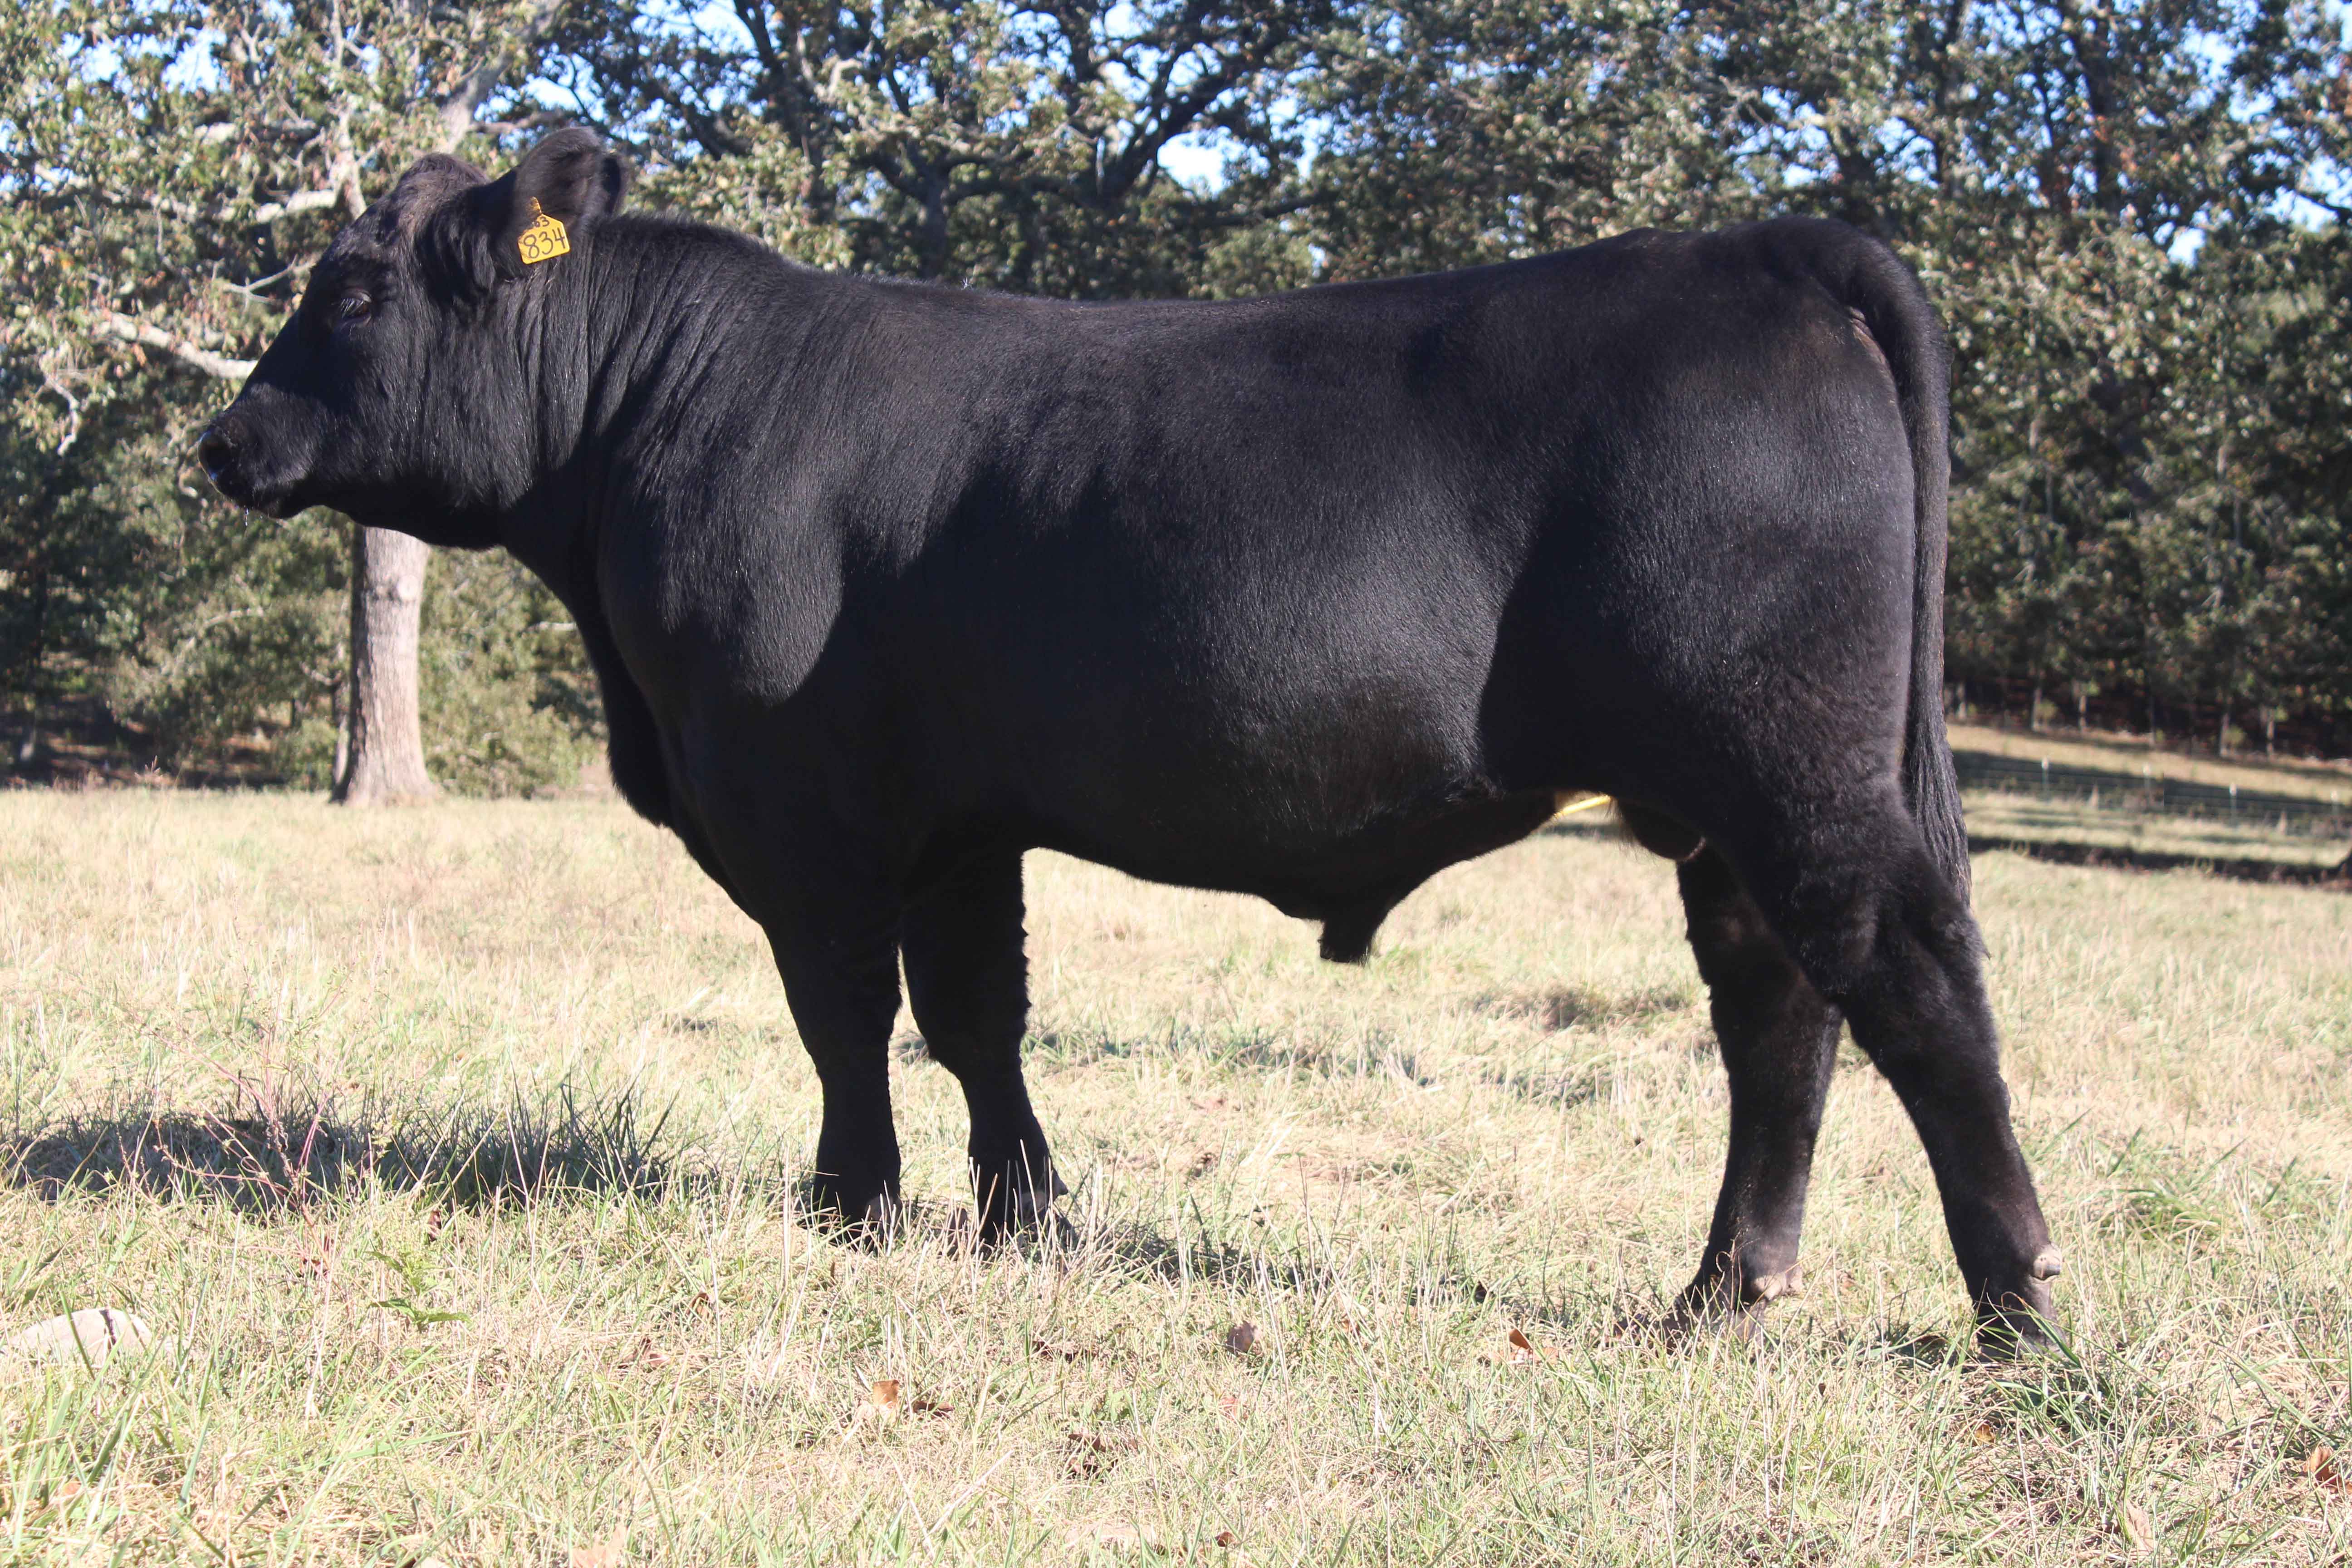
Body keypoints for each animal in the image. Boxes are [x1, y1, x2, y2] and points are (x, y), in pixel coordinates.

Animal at [199, 129, 2062, 1350]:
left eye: (348, 292)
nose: (221, 442)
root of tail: (1766, 247)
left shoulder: (800, 806)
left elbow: (842, 1018)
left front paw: (852, 1207)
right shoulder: (958, 820)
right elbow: (975, 1018)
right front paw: (1021, 1217)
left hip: (1790, 765)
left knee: (1908, 983)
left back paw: (2018, 1314)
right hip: (1726, 802)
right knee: (1779, 1017)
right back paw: (1722, 1296)